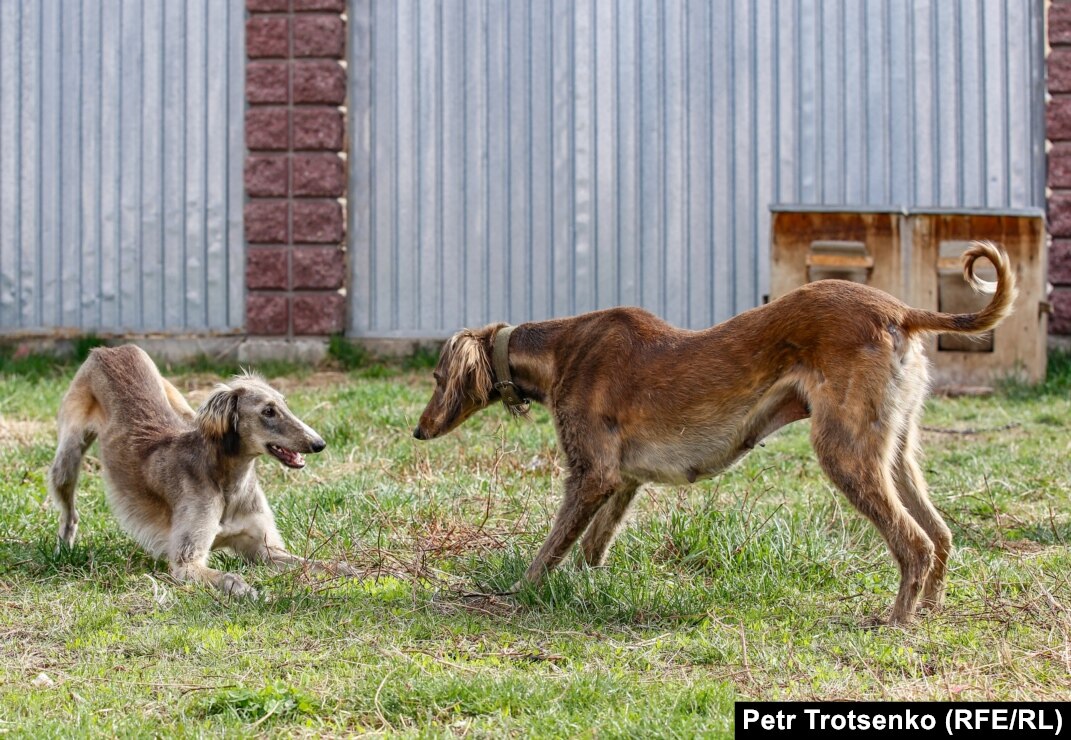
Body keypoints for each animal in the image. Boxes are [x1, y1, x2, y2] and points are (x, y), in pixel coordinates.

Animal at [48, 346, 353, 595]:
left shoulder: (266, 550)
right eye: (268, 411)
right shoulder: (186, 562)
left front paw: (352, 570)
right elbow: (229, 577)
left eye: (284, 404)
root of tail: (111, 349)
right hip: (67, 458)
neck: (229, 482)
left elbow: (318, 563)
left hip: (181, 406)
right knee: (70, 514)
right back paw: (63, 550)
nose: (319, 443)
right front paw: (246, 590)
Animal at [413, 243, 1015, 625]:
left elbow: (551, 550)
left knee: (914, 542)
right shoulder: (622, 481)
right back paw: (930, 610)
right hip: (892, 451)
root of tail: (899, 309)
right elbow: (590, 546)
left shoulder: (591, 475)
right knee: (940, 535)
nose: (417, 431)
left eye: (438, 379)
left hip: (844, 451)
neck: (561, 349)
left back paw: (895, 620)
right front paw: (588, 589)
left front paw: (517, 592)